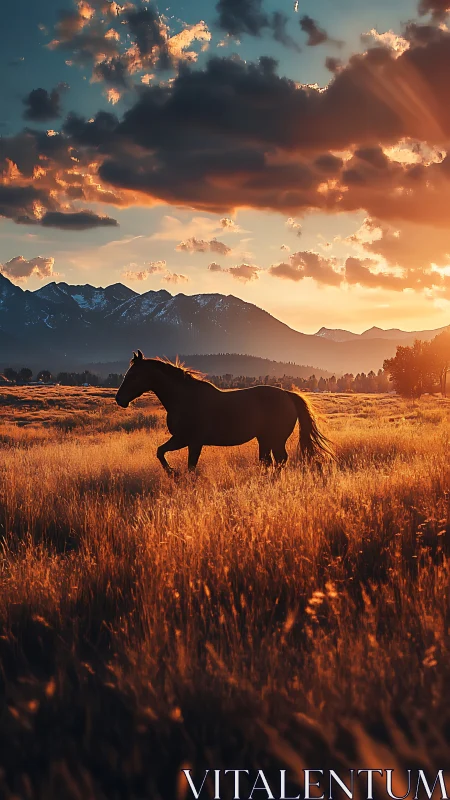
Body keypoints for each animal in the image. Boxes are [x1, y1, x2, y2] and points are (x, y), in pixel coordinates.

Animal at [115, 350, 334, 473]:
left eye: (133, 375)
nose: (119, 399)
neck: (185, 398)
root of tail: (288, 395)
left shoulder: (191, 441)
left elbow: (189, 466)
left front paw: (175, 475)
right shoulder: (183, 440)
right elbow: (160, 452)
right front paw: (173, 474)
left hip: (276, 439)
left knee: (279, 461)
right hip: (264, 439)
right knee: (268, 462)